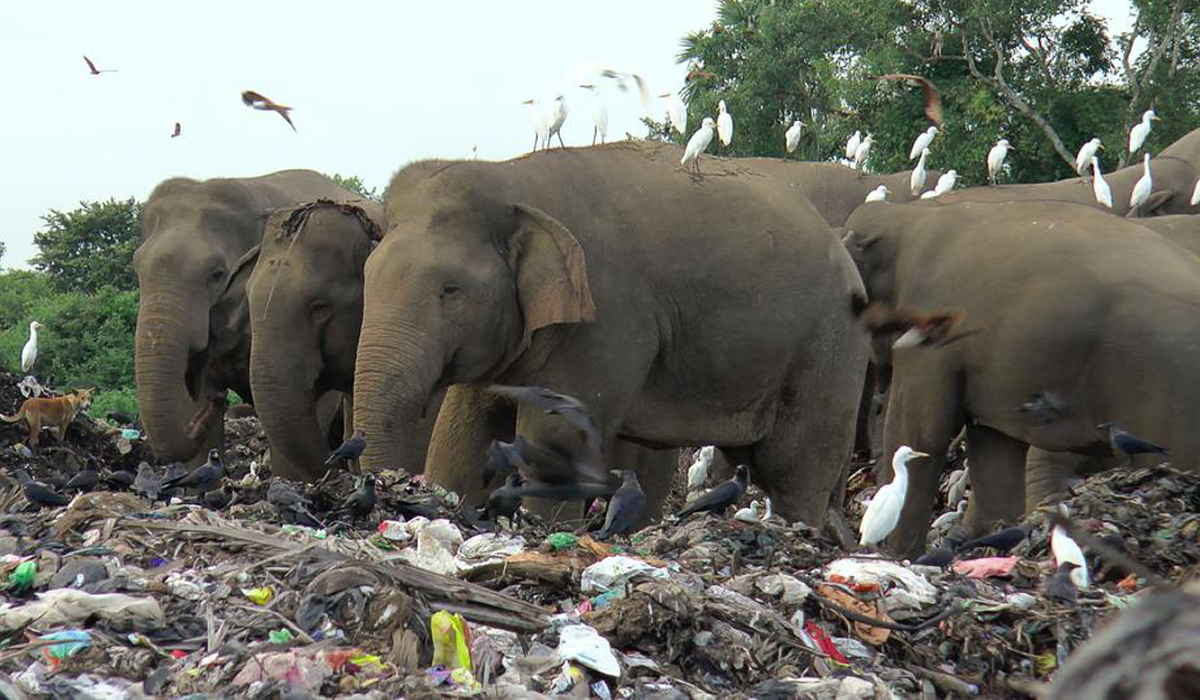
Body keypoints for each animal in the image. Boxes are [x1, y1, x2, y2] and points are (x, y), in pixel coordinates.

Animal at [352, 141, 869, 527]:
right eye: (368, 274)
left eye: (451, 290)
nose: (387, 492)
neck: (511, 178)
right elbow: (466, 432)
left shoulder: (605, 317)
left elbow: (556, 434)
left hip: (831, 347)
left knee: (793, 467)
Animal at [843, 199, 1200, 557]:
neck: (905, 214)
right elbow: (992, 448)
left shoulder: (932, 334)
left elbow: (921, 433)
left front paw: (898, 554)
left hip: (1161, 384)